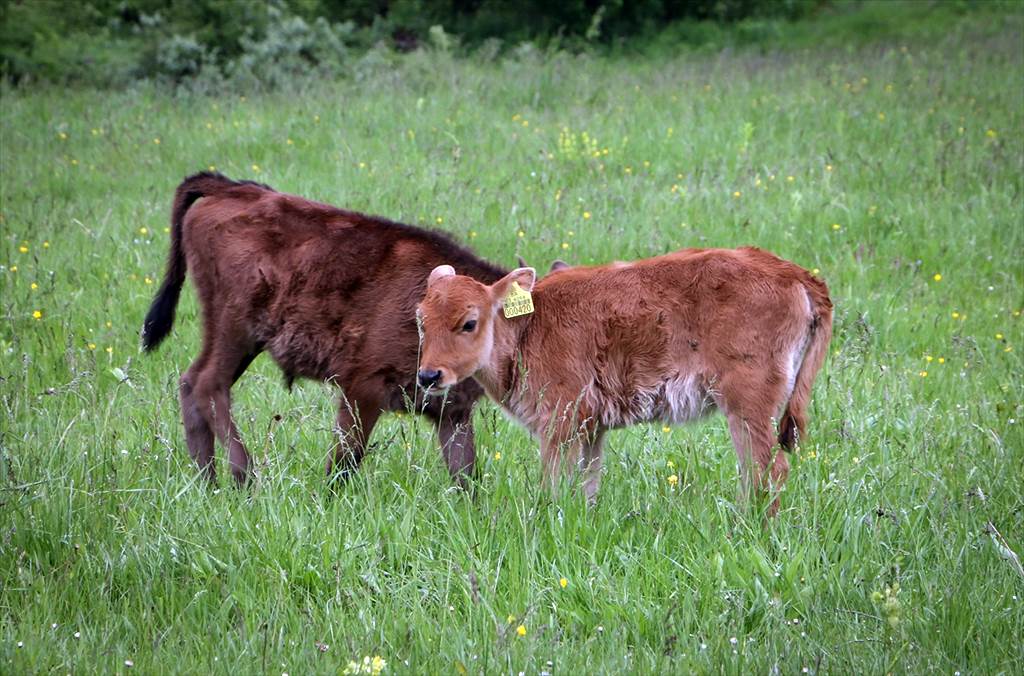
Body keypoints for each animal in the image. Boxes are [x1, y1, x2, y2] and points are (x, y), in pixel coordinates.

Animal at [144, 172, 507, 487]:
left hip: (243, 339)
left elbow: (465, 475)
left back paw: (208, 484)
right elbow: (345, 460)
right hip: (233, 328)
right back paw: (245, 479)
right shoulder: (362, 388)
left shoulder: (452, 413)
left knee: (191, 384)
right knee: (208, 385)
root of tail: (228, 189)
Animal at [415, 245, 831, 514]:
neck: (528, 325)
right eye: (421, 320)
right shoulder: (591, 429)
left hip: (746, 405)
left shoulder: (559, 423)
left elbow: (554, 486)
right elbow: (587, 484)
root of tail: (796, 275)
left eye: (469, 322)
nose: (429, 375)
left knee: (767, 469)